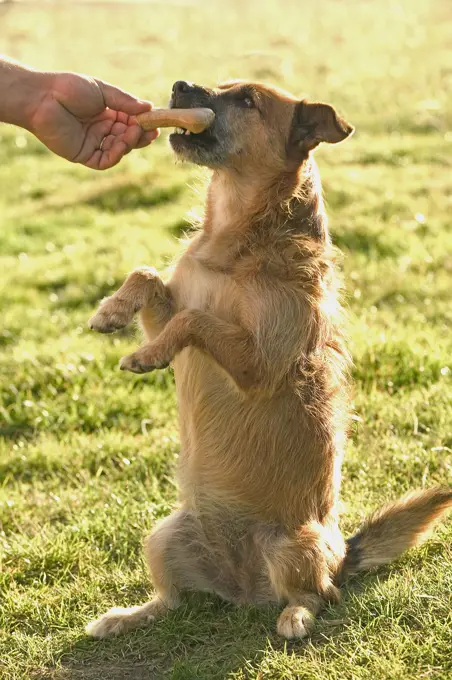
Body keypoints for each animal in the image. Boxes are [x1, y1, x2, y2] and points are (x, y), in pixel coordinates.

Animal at [85, 82, 452, 640]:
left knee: (320, 593)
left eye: (248, 101)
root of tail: (242, 593)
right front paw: (112, 311)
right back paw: (127, 616)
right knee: (173, 601)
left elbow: (193, 320)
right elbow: (148, 277)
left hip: (295, 546)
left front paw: (147, 353)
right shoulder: (175, 302)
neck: (235, 233)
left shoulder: (259, 367)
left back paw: (295, 615)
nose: (179, 87)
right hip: (164, 536)